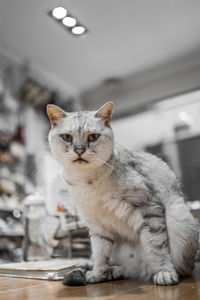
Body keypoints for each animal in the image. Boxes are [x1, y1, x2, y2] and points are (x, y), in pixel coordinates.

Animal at [46, 102, 198, 286]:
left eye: (93, 137)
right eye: (67, 137)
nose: (79, 150)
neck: (87, 180)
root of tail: (141, 271)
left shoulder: (149, 209)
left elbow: (157, 247)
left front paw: (164, 273)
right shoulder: (96, 225)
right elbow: (100, 254)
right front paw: (96, 274)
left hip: (179, 216)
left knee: (182, 267)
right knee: (115, 266)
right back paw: (110, 272)